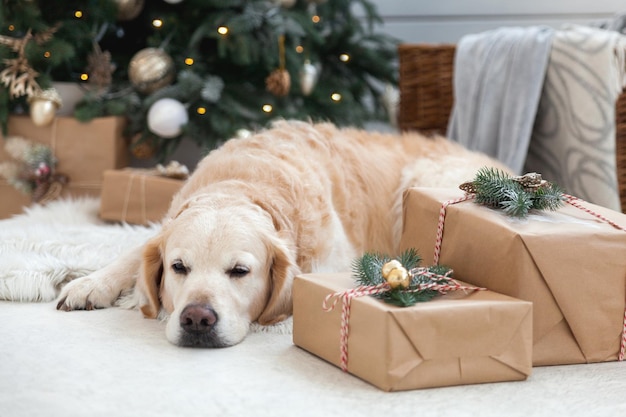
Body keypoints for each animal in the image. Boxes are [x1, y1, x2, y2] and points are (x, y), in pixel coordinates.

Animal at [57, 121, 508, 348]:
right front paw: (89, 284)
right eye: (177, 267)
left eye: (240, 271)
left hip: (420, 181)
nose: (197, 319)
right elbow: (134, 253)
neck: (247, 183)